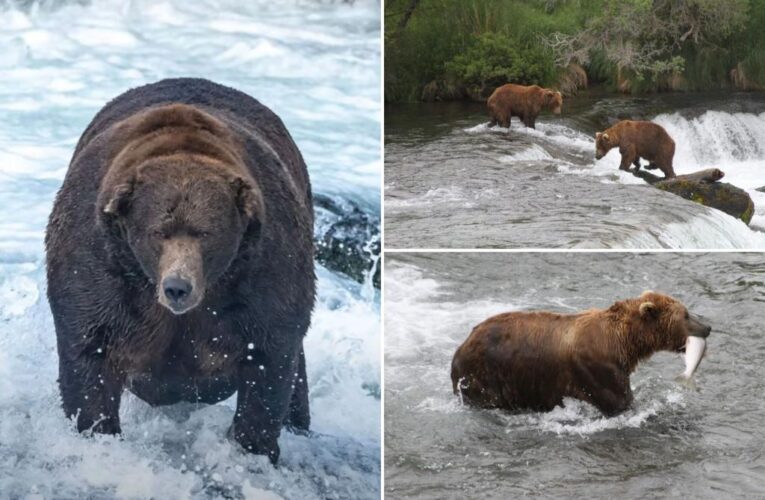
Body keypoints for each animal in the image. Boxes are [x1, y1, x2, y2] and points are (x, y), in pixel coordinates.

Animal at [46, 78, 314, 464]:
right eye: (158, 232)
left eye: (206, 233)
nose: (177, 287)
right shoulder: (99, 263)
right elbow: (90, 352)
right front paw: (98, 431)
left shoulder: (264, 268)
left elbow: (269, 358)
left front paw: (254, 446)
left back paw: (298, 422)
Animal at [448, 292, 712, 416]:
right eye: (685, 314)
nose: (708, 327)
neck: (623, 343)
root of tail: (462, 346)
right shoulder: (598, 368)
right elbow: (620, 402)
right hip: (486, 375)